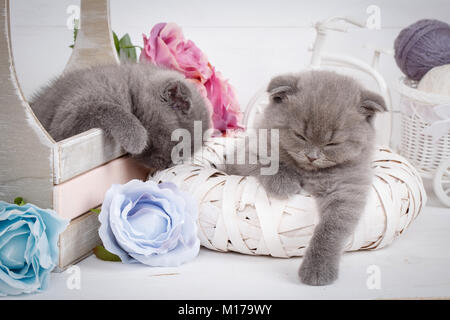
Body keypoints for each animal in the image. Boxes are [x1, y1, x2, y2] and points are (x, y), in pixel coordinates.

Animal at [31, 62, 211, 170]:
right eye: (179, 146)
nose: (167, 165)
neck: (127, 88)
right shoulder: (65, 120)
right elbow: (107, 108)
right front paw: (136, 137)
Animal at [227, 71, 384, 286]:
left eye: (333, 143)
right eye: (299, 135)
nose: (312, 156)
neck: (309, 171)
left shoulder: (347, 190)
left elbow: (331, 230)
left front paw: (318, 269)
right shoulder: (246, 152)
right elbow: (268, 162)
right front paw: (283, 183)